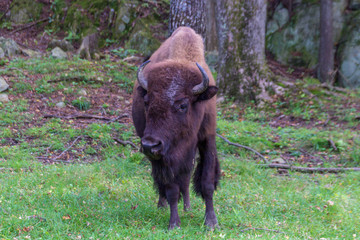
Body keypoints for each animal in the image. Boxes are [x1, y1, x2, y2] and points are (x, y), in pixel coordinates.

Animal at [131, 26, 218, 229]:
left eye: (182, 105)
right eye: (146, 102)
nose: (150, 145)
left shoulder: (207, 139)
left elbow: (207, 183)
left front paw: (211, 223)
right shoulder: (165, 156)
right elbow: (170, 188)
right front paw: (174, 224)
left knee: (185, 176)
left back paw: (187, 206)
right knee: (164, 180)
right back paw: (162, 204)